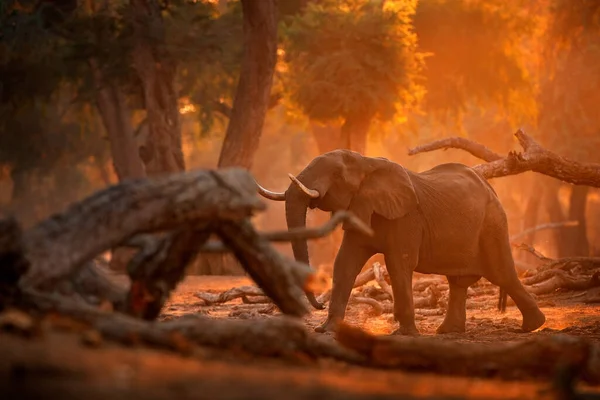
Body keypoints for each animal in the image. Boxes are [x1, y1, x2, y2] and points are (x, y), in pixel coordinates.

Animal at [255, 149, 548, 334]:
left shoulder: (406, 217)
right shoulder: (361, 208)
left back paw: (533, 326)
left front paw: (404, 334)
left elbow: (399, 264)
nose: (319, 304)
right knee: (459, 282)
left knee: (502, 274)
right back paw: (448, 332)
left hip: (493, 223)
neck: (366, 162)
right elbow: (345, 263)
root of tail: (491, 188)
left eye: (336, 174)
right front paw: (325, 330)